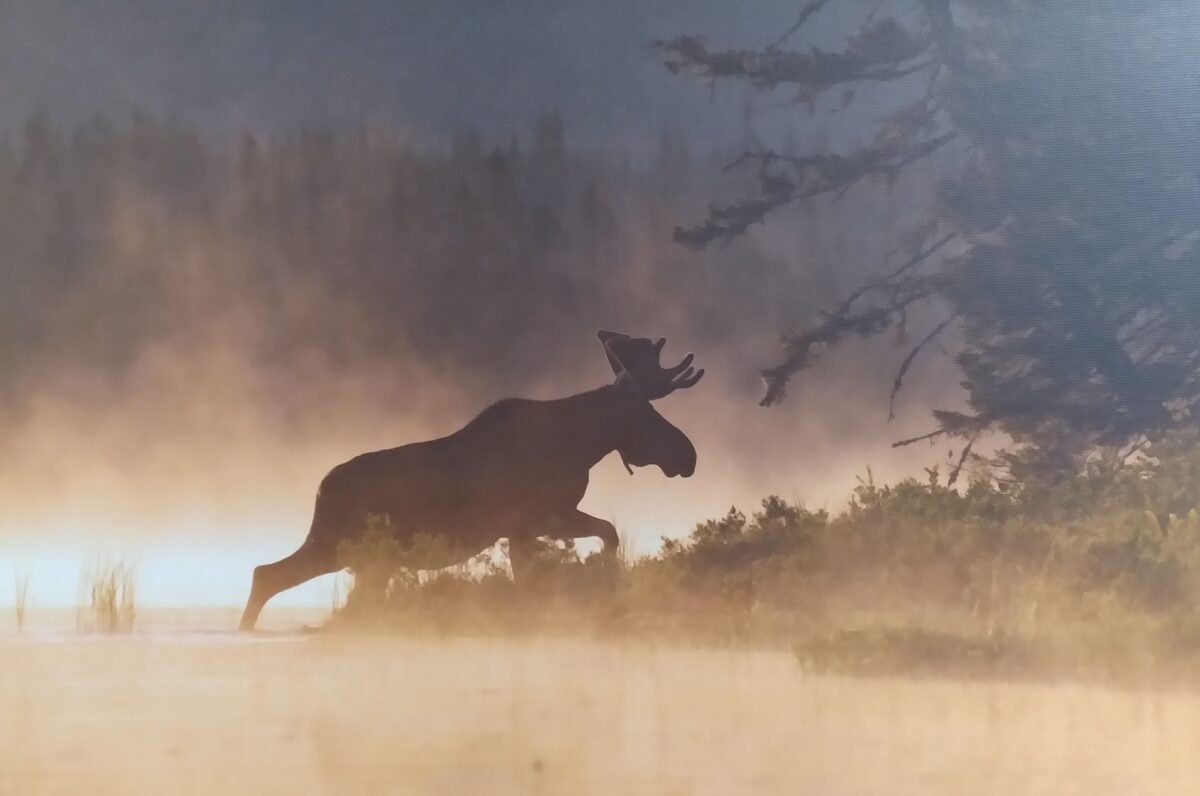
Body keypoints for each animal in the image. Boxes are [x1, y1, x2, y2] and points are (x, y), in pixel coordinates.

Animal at [238, 330, 704, 630]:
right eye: (644, 412)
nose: (689, 454)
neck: (582, 442)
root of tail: (321, 488)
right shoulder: (539, 517)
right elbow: (607, 535)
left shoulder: (526, 527)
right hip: (337, 544)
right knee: (267, 575)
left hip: (367, 559)